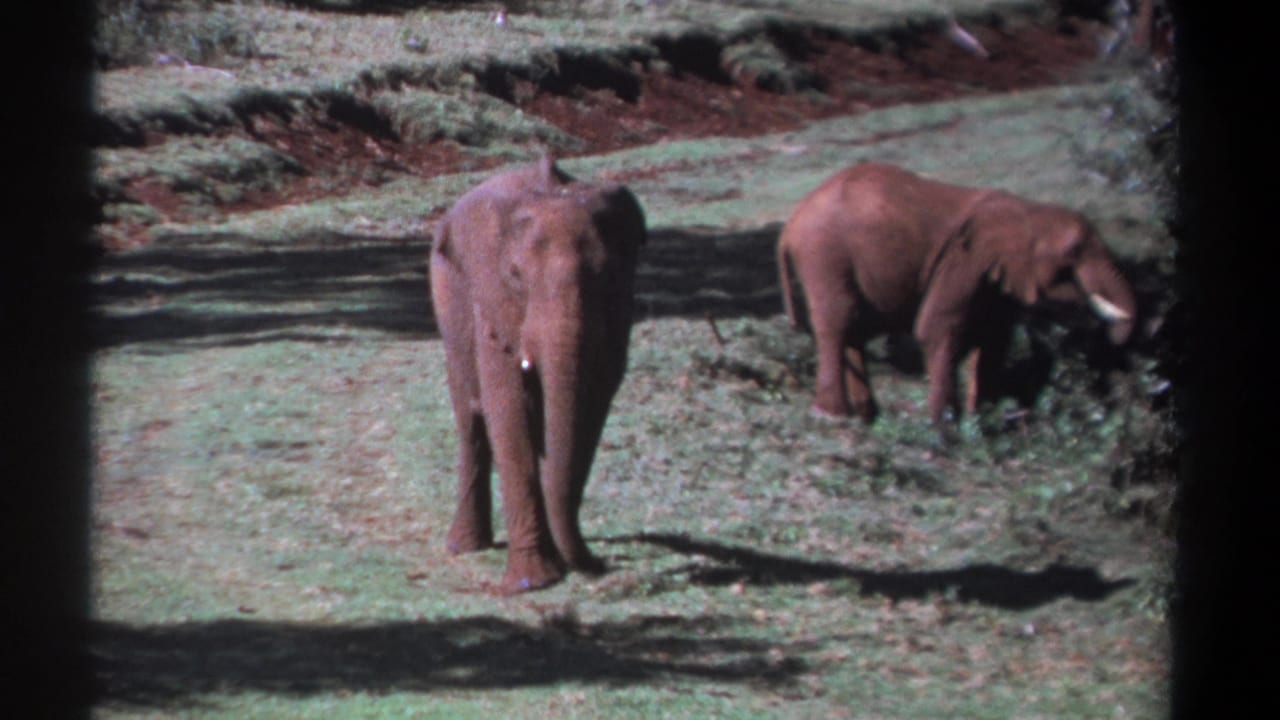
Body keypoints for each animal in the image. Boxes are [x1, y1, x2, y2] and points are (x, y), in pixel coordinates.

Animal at [429, 156, 646, 594]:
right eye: (515, 276)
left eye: (608, 274)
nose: (602, 563)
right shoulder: (491, 304)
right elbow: (509, 408)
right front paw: (532, 581)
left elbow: (594, 405)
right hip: (447, 305)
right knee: (471, 421)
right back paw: (465, 548)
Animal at [776, 162, 1136, 428]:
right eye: (1073, 252)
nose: (1113, 348)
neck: (1025, 211)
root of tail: (790, 225)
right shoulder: (963, 262)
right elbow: (936, 328)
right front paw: (945, 430)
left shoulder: (994, 278)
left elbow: (994, 340)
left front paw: (984, 422)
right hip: (824, 255)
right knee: (837, 322)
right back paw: (832, 417)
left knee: (852, 328)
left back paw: (866, 419)